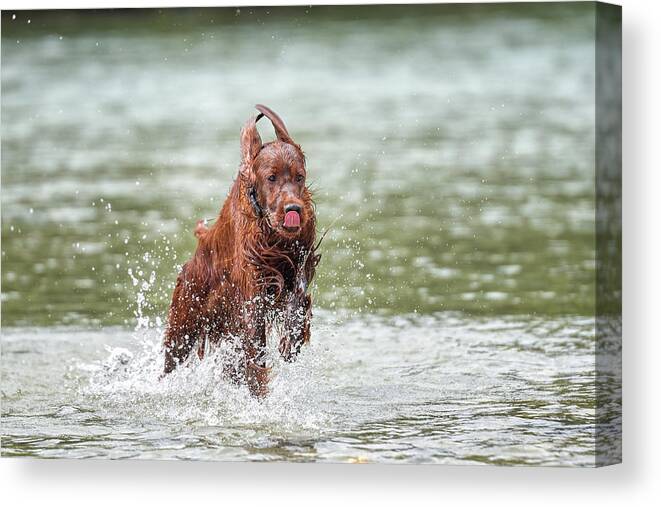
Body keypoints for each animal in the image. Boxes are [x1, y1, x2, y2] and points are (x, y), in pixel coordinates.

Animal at [161, 104, 318, 396]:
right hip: (183, 322)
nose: (294, 210)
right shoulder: (251, 285)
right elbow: (255, 342)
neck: (271, 235)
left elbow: (298, 302)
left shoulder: (296, 264)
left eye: (299, 177)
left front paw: (291, 341)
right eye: (271, 177)